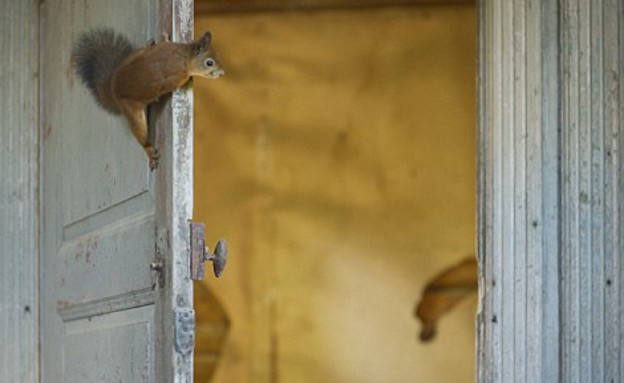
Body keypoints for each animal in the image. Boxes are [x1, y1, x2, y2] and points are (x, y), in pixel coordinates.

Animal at [73, 28, 224, 170]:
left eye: (217, 55)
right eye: (209, 63)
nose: (222, 73)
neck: (184, 57)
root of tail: (111, 88)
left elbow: (164, 43)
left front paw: (165, 37)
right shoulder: (176, 77)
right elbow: (175, 84)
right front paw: (189, 81)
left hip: (134, 56)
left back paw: (148, 44)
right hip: (132, 111)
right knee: (141, 135)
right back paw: (149, 150)